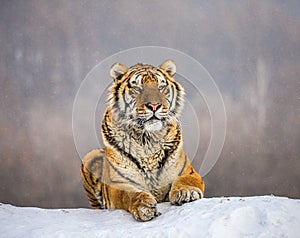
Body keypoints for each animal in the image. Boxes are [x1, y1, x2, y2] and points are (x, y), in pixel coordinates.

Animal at [81, 59, 205, 221]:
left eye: (161, 87)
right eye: (137, 88)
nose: (154, 105)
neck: (147, 139)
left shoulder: (187, 171)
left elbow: (185, 180)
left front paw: (187, 192)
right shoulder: (118, 183)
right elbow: (129, 194)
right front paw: (143, 206)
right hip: (90, 156)